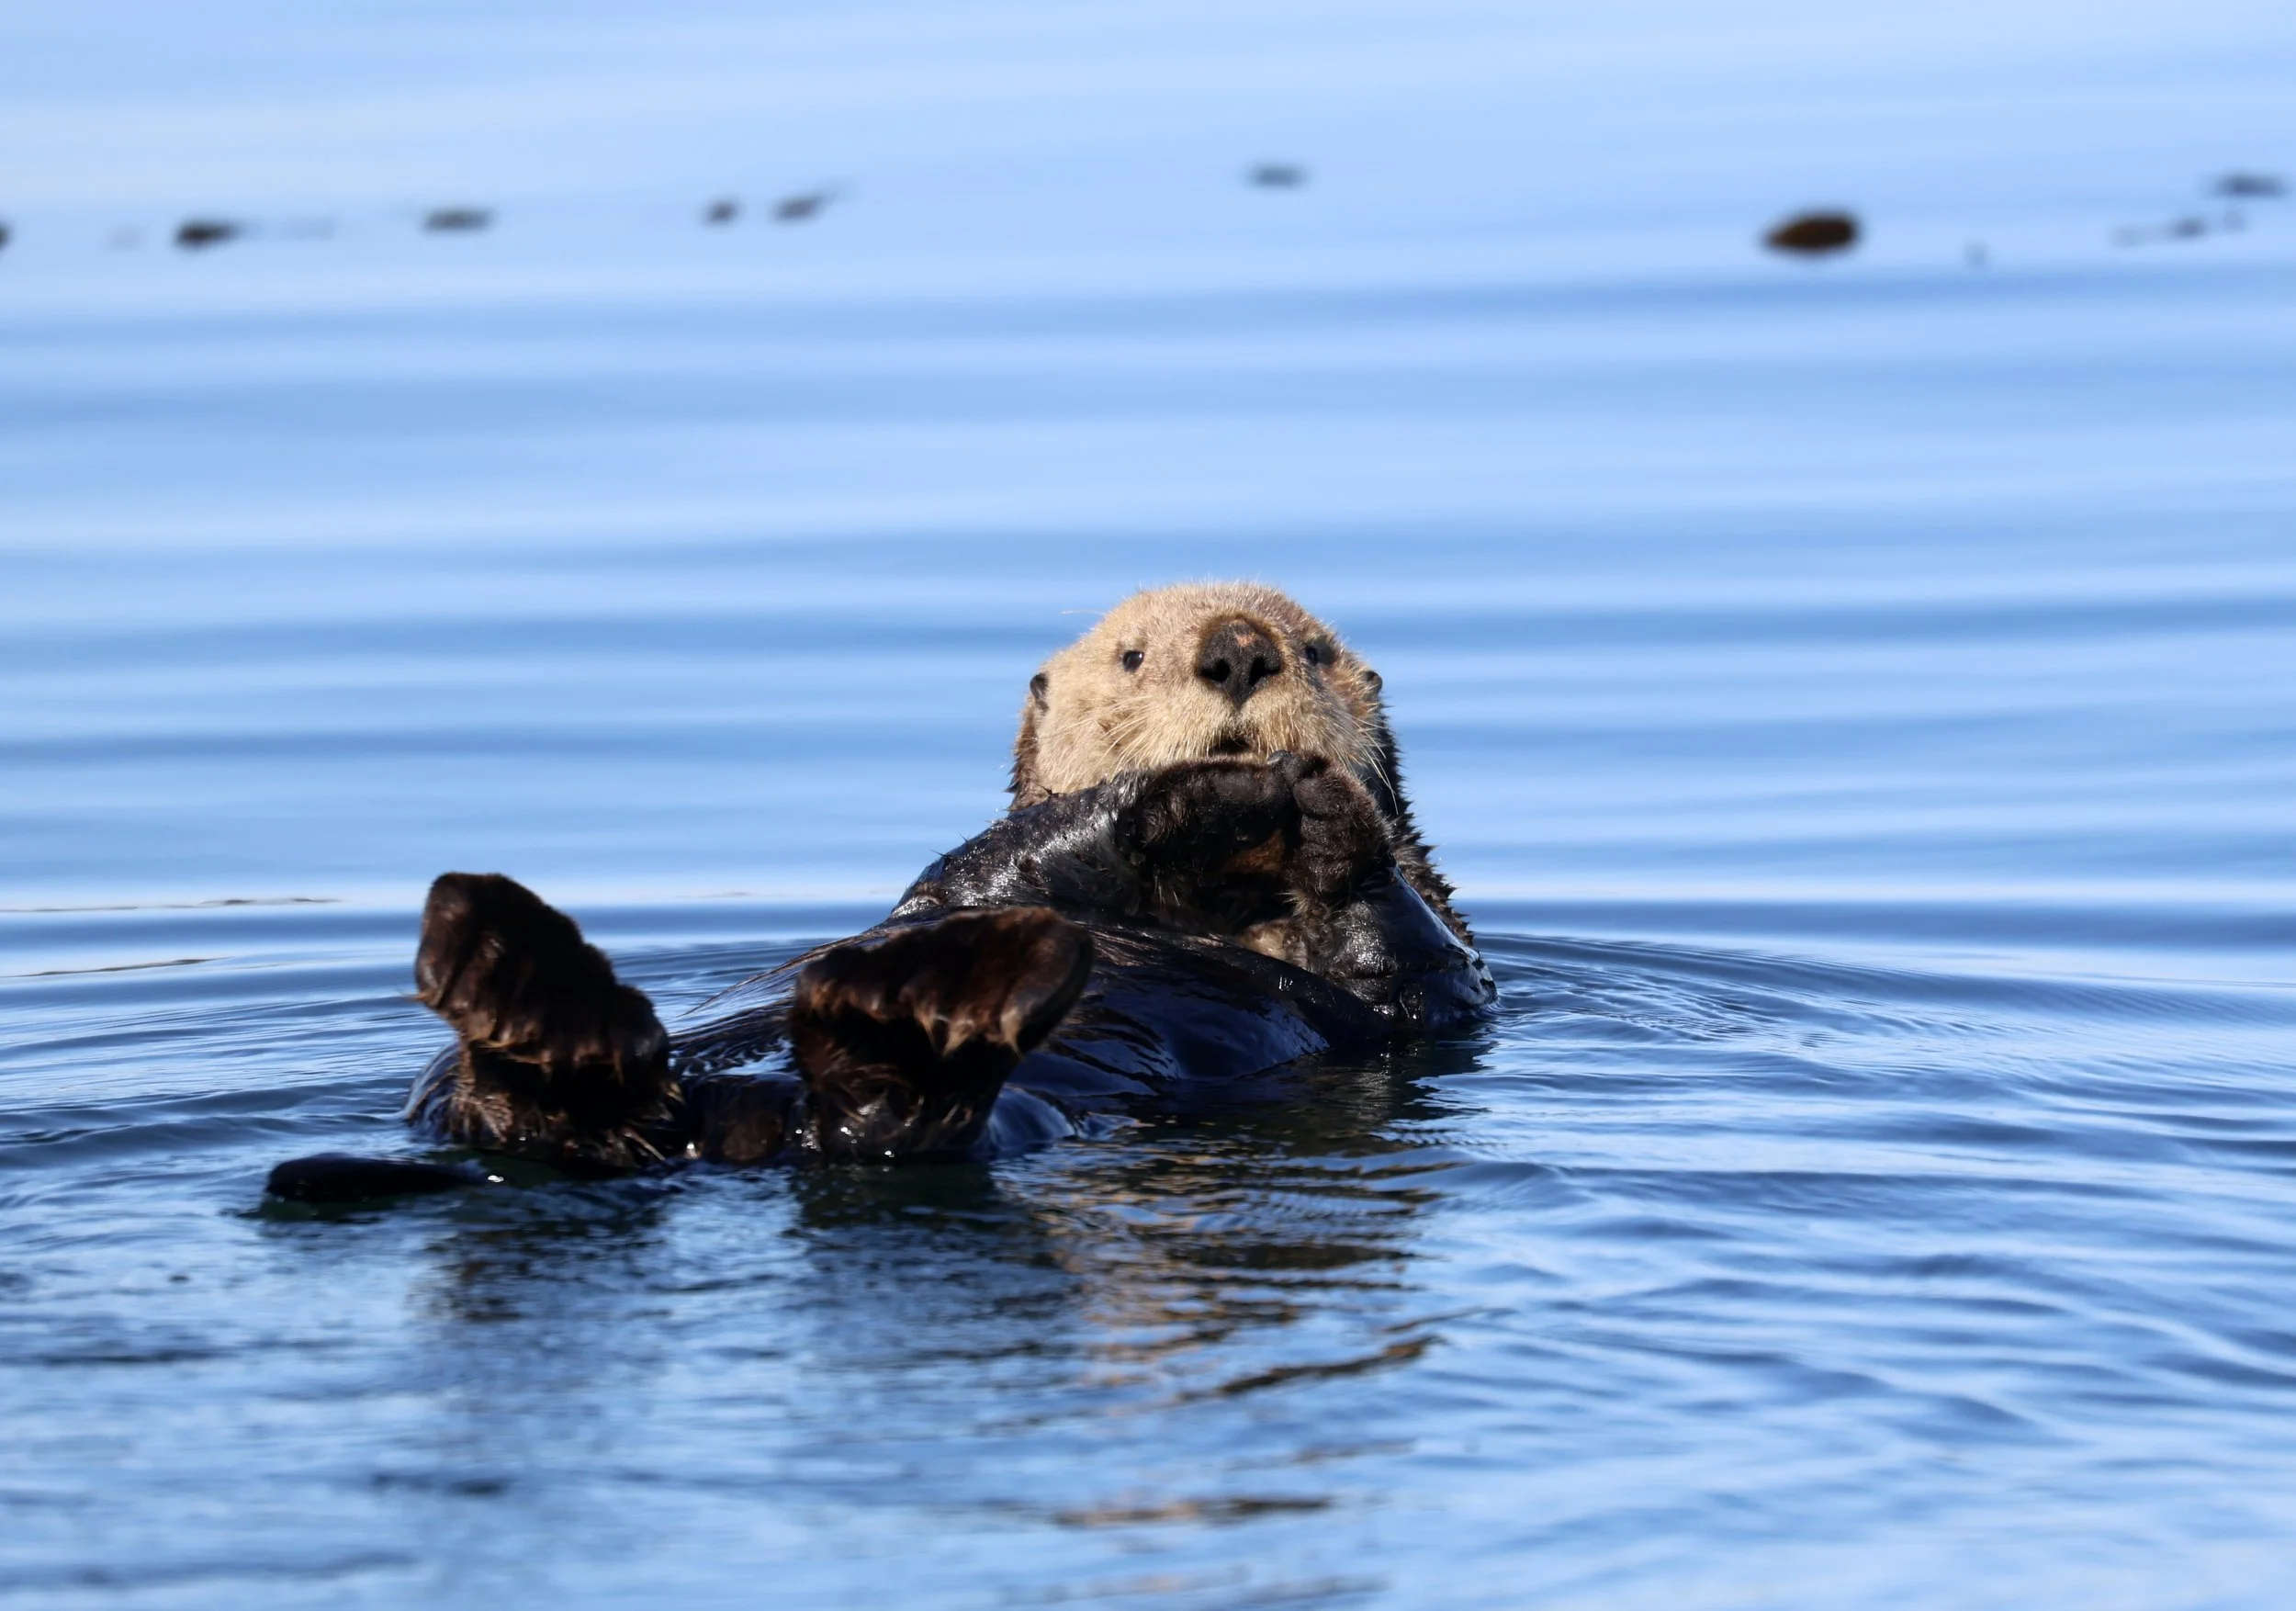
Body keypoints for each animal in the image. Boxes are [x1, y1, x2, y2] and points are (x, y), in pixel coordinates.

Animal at [267, 583, 1494, 1202]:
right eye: (1133, 656)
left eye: (1314, 648)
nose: (1238, 651)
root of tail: (735, 1129)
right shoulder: (967, 880)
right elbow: (996, 864)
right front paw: (1198, 794)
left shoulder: (1440, 989)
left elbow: (1408, 959)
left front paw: (1324, 802)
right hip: (444, 1094)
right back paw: (511, 966)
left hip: (991, 1119)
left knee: (892, 1121)